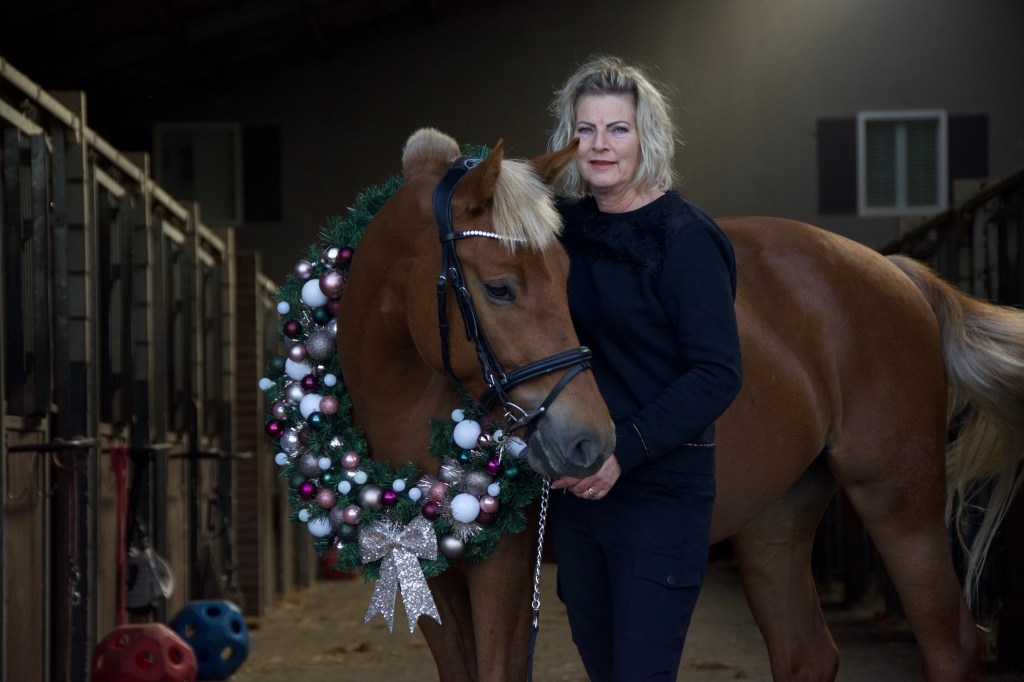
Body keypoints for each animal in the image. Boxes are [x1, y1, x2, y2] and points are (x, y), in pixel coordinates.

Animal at [336, 127, 1024, 681]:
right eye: (500, 288)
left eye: (568, 278)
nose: (589, 442)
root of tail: (895, 271)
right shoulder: (431, 576)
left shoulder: (502, 572)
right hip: (778, 518)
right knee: (807, 654)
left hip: (900, 502)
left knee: (953, 647)